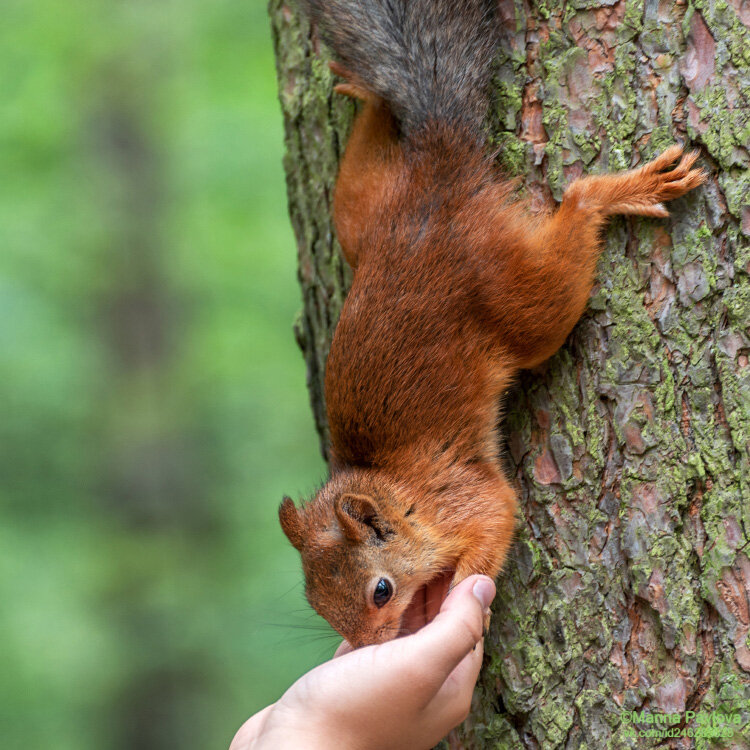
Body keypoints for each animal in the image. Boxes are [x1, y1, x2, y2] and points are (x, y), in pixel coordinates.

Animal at [279, 0, 706, 649]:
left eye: (381, 591)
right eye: (317, 604)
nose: (371, 647)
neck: (395, 488)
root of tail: (437, 189)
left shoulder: (467, 500)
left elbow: (496, 517)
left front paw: (464, 600)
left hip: (516, 295)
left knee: (574, 218)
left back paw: (615, 192)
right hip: (359, 217)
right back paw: (368, 95)